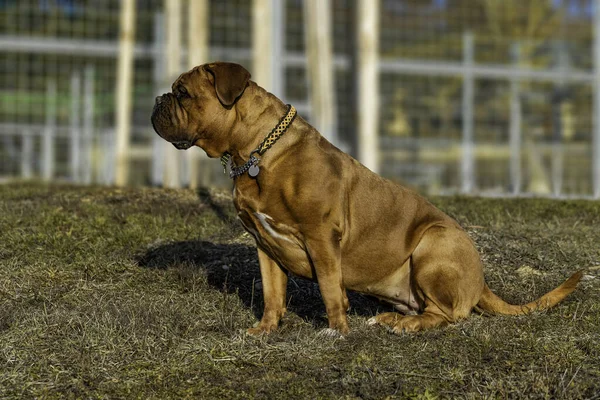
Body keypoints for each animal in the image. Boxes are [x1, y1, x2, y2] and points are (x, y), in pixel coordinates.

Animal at [152, 61, 584, 334]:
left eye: (182, 93)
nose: (157, 99)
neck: (255, 153)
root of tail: (481, 281)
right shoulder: (264, 246)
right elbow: (273, 295)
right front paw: (265, 330)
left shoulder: (321, 237)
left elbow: (329, 286)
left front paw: (336, 330)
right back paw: (393, 320)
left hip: (432, 244)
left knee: (449, 315)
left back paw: (405, 326)